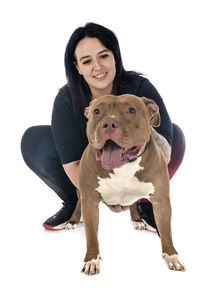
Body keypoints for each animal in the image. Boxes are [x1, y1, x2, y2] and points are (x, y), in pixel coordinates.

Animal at [66, 94, 185, 274]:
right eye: (96, 111)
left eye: (131, 110)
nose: (108, 123)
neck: (123, 167)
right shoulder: (90, 201)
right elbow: (92, 235)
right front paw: (92, 260)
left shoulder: (161, 201)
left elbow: (166, 232)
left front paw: (171, 256)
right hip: (81, 192)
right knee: (78, 201)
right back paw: (72, 221)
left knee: (134, 202)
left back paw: (137, 220)